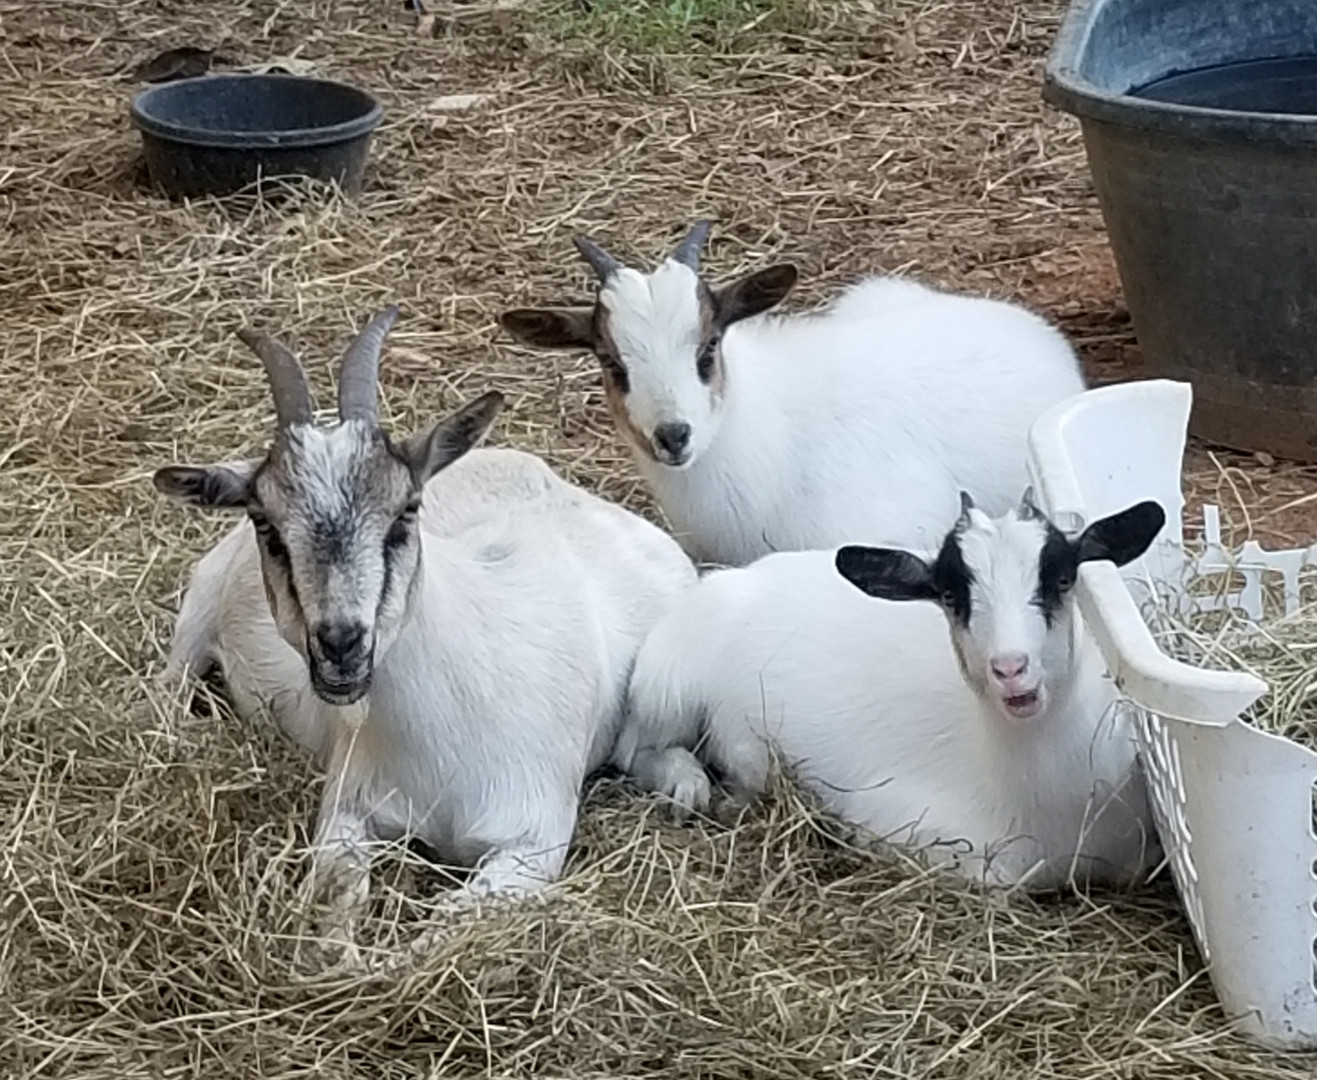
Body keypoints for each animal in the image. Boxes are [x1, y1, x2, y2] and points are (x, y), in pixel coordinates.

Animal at [155, 307, 696, 958]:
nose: (341, 645)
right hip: (199, 603)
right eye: (265, 522)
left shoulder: (531, 846)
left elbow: (437, 930)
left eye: (406, 510)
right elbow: (339, 904)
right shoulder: (345, 812)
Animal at [614, 490, 1166, 890]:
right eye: (949, 593)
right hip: (667, 685)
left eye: (1063, 577)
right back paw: (691, 786)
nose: (1010, 667)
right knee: (634, 748)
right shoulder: (909, 828)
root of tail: (739, 578)